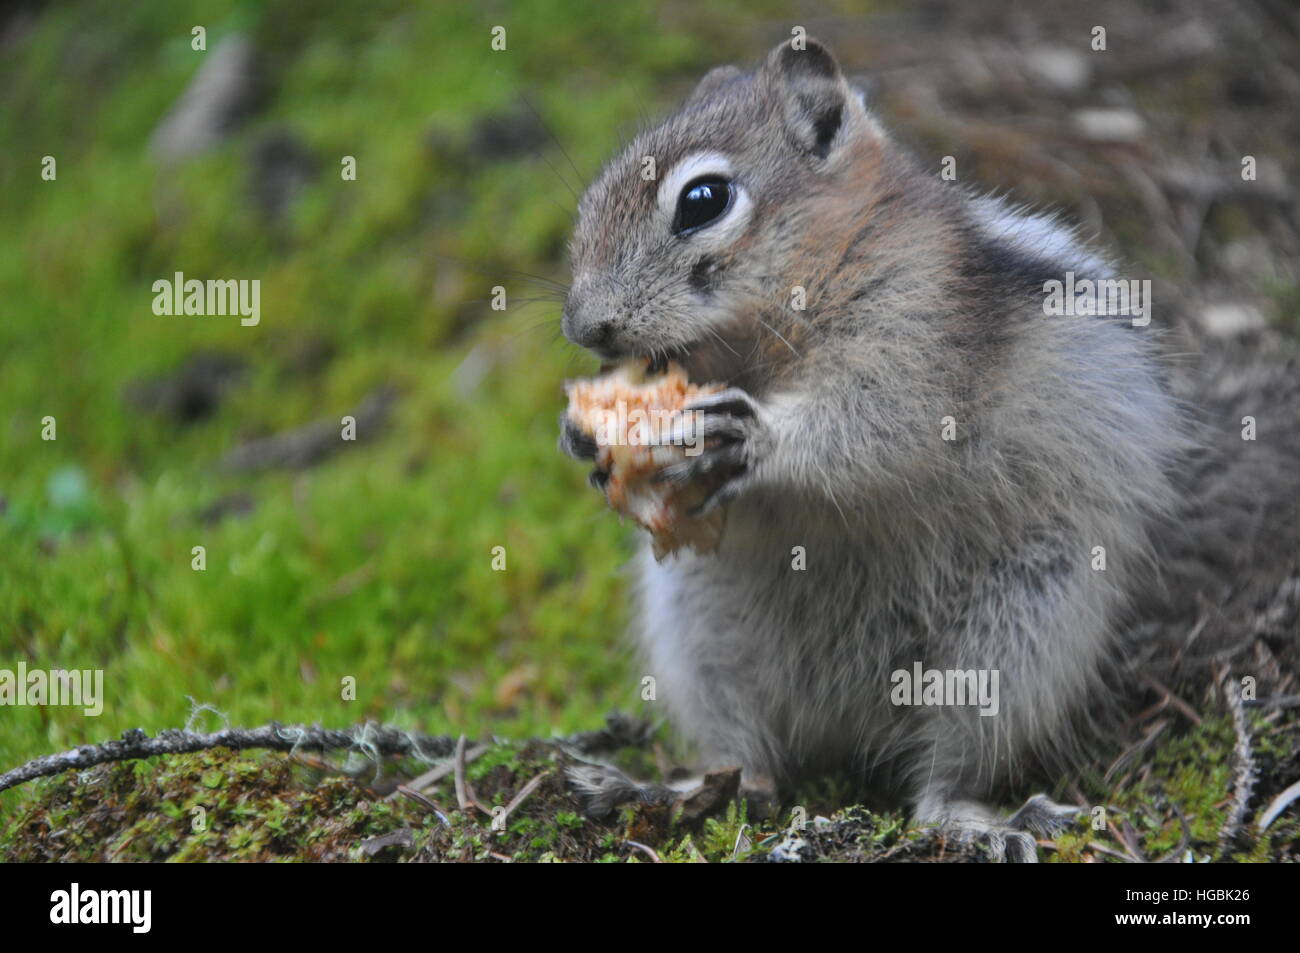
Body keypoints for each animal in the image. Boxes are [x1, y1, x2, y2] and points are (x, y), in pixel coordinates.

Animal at [556, 37, 1300, 858]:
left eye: (703, 200)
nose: (584, 327)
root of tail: (846, 725)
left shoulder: (922, 332)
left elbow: (882, 422)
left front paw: (752, 434)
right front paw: (582, 435)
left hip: (1014, 641)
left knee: (940, 777)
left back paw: (981, 821)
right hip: (702, 635)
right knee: (747, 760)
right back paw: (659, 787)